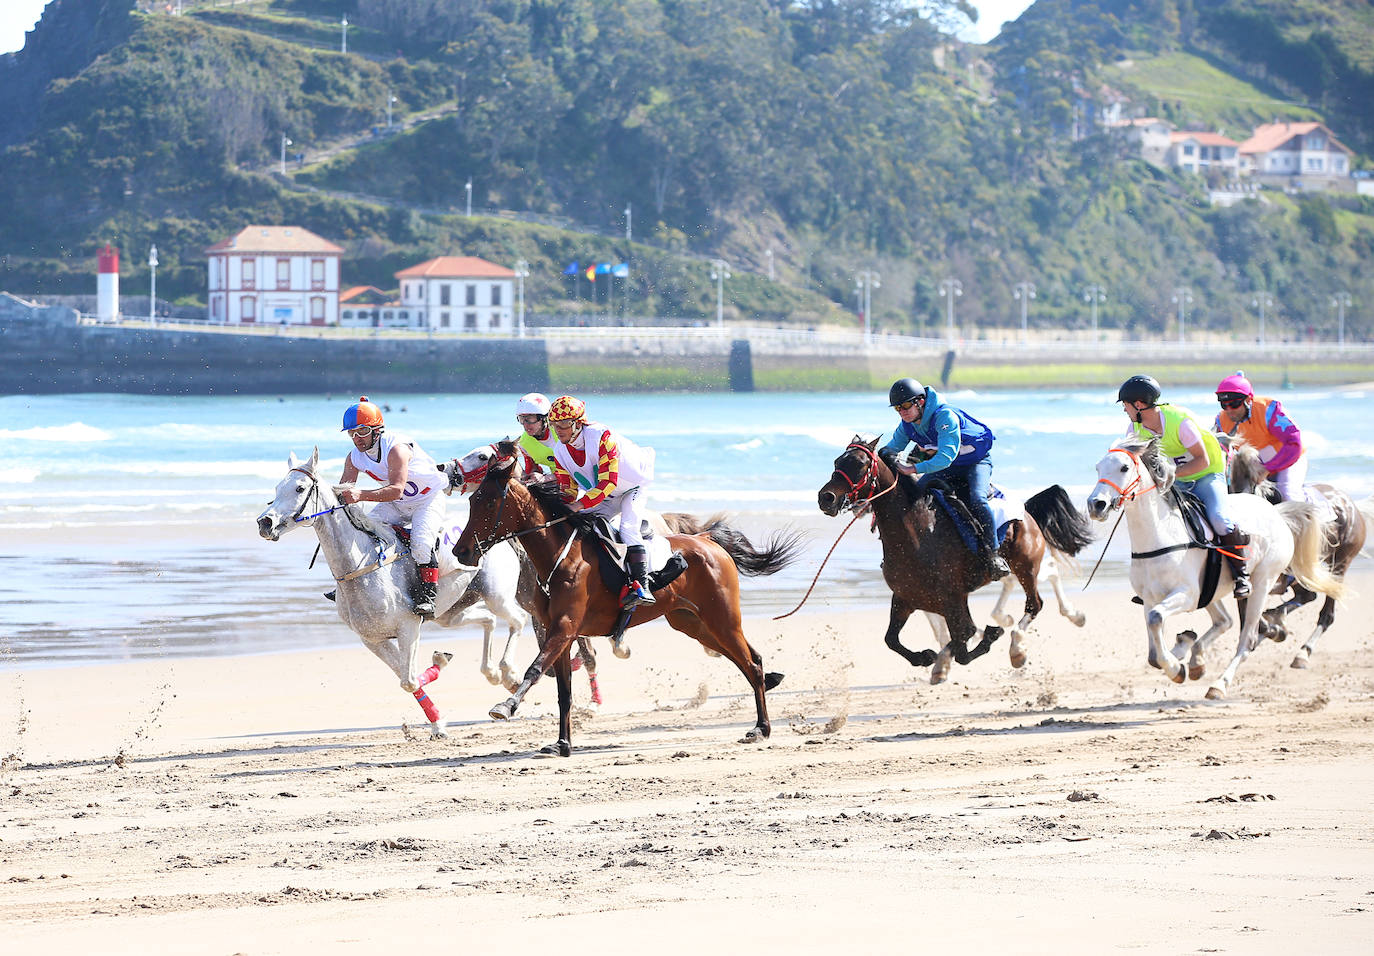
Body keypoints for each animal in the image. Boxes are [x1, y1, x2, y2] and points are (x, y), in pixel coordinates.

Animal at [258, 450, 530, 741]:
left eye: (300, 488)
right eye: (277, 488)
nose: (265, 523)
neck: (361, 567)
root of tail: (499, 533)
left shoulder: (408, 627)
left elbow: (408, 680)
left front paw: (439, 710)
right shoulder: (373, 639)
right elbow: (407, 678)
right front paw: (438, 717)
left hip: (496, 595)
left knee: (517, 620)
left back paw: (510, 674)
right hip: (451, 613)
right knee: (489, 620)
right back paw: (493, 673)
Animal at [447, 436, 802, 758]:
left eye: (488, 503)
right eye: (472, 501)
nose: (460, 551)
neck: (560, 556)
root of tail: (707, 539)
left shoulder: (565, 627)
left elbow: (535, 669)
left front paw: (506, 706)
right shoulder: (557, 631)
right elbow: (564, 692)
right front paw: (562, 744)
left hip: (722, 618)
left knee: (750, 663)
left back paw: (761, 728)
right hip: (693, 623)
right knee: (749, 660)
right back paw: (765, 699)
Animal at [813, 434, 1093, 673]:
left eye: (860, 465)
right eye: (837, 461)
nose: (826, 498)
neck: (917, 534)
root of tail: (1025, 509)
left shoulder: (952, 599)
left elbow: (963, 643)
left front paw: (988, 636)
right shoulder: (905, 598)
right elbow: (892, 639)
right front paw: (926, 657)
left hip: (1026, 565)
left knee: (1035, 603)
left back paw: (1019, 648)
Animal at [1082, 436, 1341, 697]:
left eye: (1124, 468)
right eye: (1097, 468)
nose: (1096, 505)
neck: (1159, 535)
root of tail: (1277, 513)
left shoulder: (1186, 595)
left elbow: (1156, 620)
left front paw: (1176, 667)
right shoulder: (1150, 598)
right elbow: (1153, 653)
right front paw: (1180, 659)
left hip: (1262, 582)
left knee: (1247, 638)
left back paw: (1219, 684)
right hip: (1212, 589)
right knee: (1224, 620)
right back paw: (1195, 659)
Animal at [1225, 439, 1374, 667]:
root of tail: (1353, 506)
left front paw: (1272, 629)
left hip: (1340, 564)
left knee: (1327, 614)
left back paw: (1303, 652)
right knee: (1307, 595)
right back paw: (1277, 618)